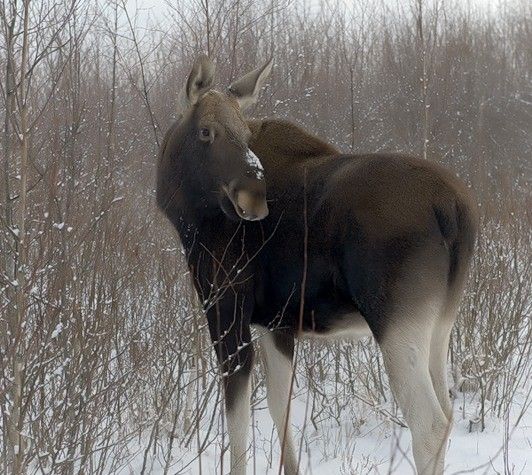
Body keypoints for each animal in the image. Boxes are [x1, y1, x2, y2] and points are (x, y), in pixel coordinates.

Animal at [157, 56, 478, 475]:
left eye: (244, 133)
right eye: (206, 131)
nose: (253, 198)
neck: (187, 215)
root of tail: (456, 212)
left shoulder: (226, 308)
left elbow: (239, 419)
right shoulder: (276, 323)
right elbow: (280, 405)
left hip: (397, 321)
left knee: (429, 423)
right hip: (440, 324)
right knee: (447, 409)